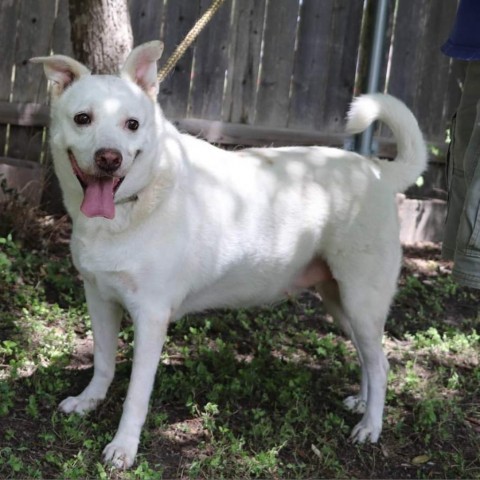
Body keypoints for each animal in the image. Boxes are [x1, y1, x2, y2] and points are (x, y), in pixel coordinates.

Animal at [31, 41, 426, 468]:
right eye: (82, 119)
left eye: (132, 124)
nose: (109, 158)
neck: (132, 206)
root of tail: (376, 170)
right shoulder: (99, 298)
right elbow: (103, 361)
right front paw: (89, 401)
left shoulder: (151, 317)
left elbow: (135, 396)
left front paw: (124, 447)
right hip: (340, 302)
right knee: (369, 358)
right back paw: (362, 403)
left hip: (361, 299)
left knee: (381, 363)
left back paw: (371, 426)